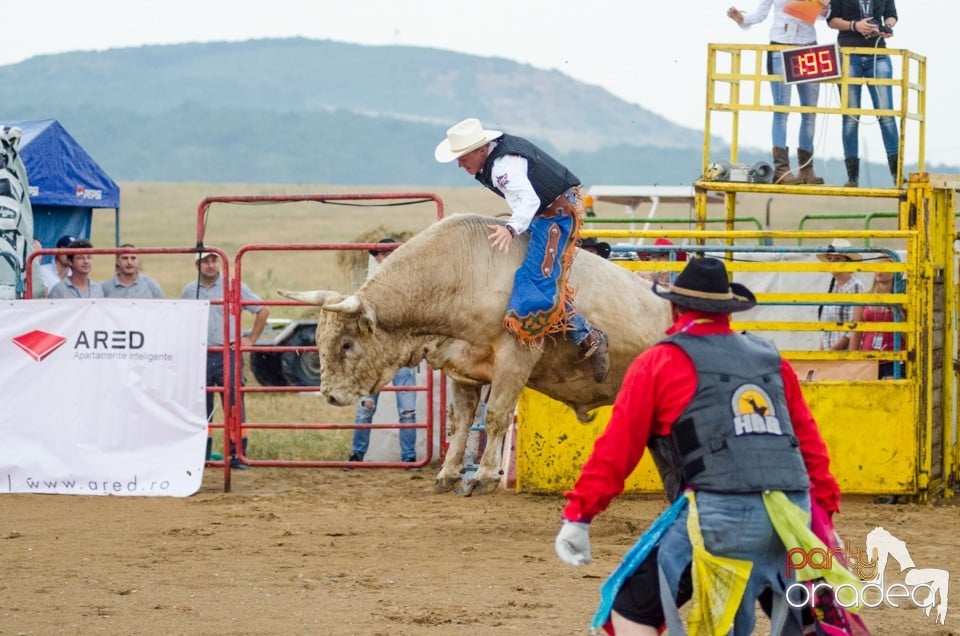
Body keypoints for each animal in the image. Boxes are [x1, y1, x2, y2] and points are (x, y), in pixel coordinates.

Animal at [276, 216, 668, 494]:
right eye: (320, 338)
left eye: (346, 343)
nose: (329, 394)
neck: (461, 274)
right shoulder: (460, 366)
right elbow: (461, 420)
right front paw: (449, 473)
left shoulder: (515, 358)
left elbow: (494, 416)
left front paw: (484, 475)